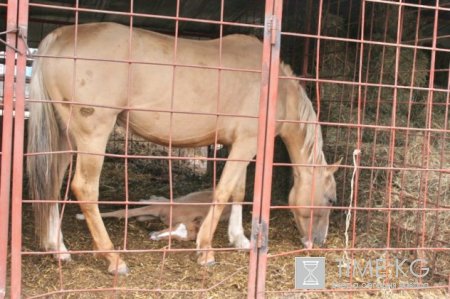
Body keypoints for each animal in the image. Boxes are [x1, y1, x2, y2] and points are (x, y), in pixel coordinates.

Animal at [26, 22, 340, 276]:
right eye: (331, 199)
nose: (317, 242)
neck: (274, 88)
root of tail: (60, 36)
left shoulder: (237, 144)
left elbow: (237, 191)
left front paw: (239, 239)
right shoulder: (246, 144)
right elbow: (223, 191)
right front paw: (206, 249)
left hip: (66, 138)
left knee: (53, 183)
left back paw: (58, 248)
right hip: (93, 135)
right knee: (84, 188)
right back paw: (114, 259)